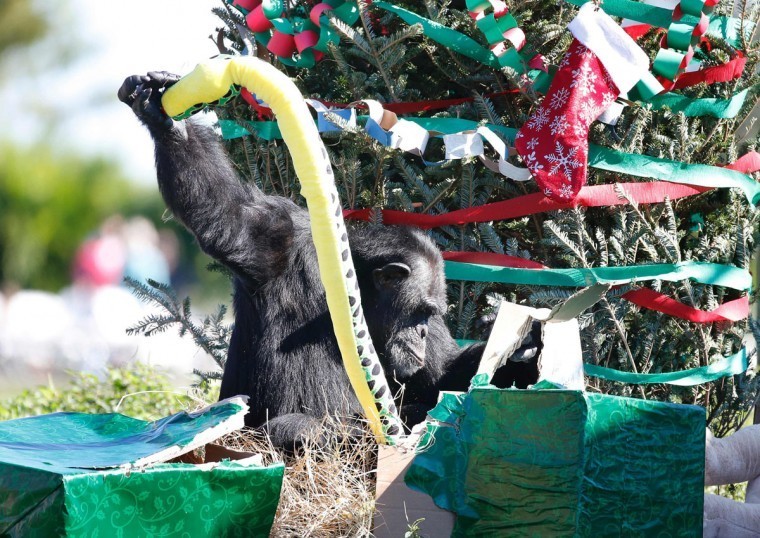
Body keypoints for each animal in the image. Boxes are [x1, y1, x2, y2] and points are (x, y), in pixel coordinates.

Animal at [117, 73, 540, 446]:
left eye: (430, 316)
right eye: (419, 314)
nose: (421, 333)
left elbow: (443, 376)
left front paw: (525, 349)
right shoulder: (278, 242)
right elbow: (226, 215)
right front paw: (168, 120)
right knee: (293, 428)